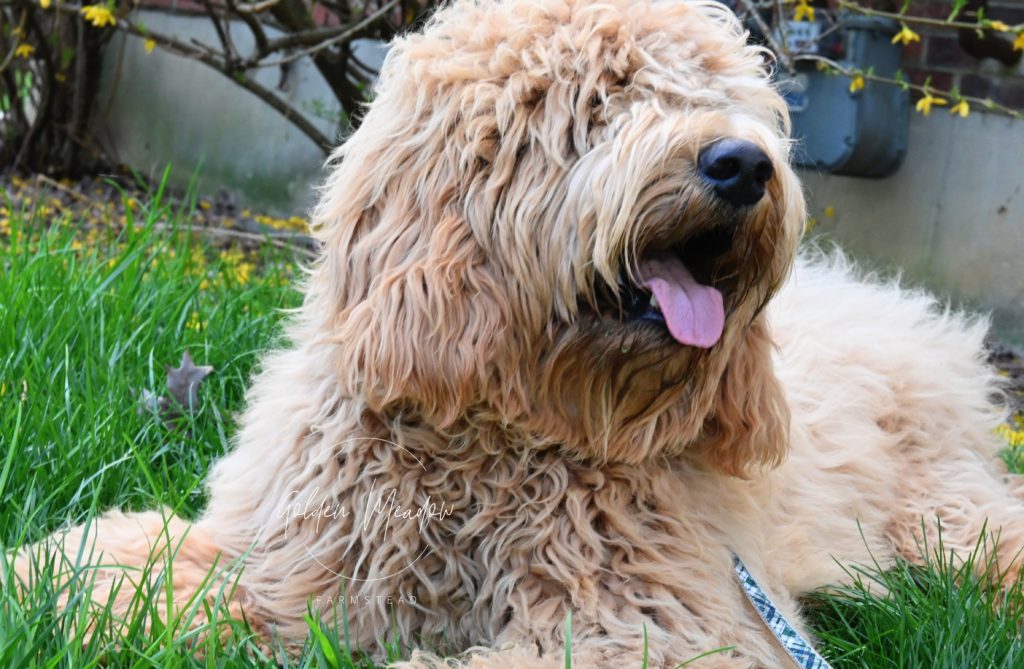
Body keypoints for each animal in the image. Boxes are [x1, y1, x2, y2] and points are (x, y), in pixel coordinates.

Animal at [14, 0, 1024, 663]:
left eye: (728, 98)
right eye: (604, 99)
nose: (742, 164)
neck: (508, 429)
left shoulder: (668, 620)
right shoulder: (295, 556)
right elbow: (146, 562)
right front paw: (43, 579)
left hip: (948, 518)